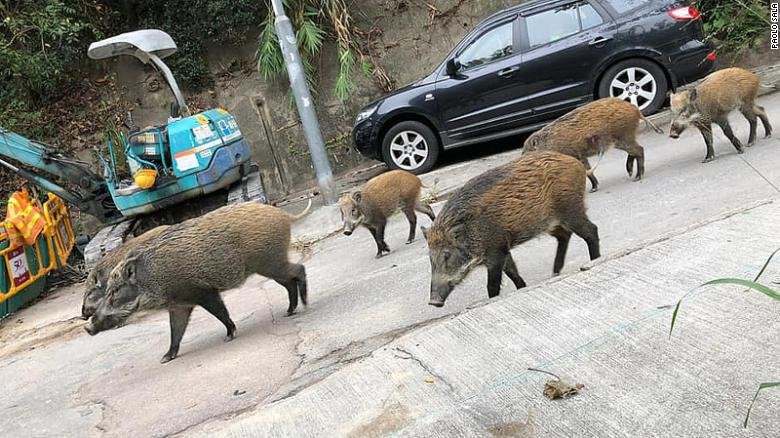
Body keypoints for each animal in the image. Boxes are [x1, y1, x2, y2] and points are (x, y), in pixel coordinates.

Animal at [85, 200, 311, 363]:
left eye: (115, 291)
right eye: (107, 291)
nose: (87, 326)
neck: (152, 280)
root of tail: (283, 214)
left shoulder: (202, 292)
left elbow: (220, 313)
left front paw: (228, 336)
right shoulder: (179, 305)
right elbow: (175, 331)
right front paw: (165, 358)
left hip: (269, 261)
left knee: (299, 270)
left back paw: (305, 304)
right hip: (269, 264)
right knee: (289, 281)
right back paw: (289, 311)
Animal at [423, 151, 600, 307]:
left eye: (447, 255)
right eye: (430, 258)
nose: (433, 302)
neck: (472, 231)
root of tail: (577, 164)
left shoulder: (495, 250)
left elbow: (493, 284)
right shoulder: (502, 247)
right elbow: (512, 272)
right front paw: (523, 287)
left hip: (571, 209)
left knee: (591, 231)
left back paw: (594, 259)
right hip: (553, 222)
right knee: (564, 236)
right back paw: (554, 272)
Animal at [523, 97, 663, 192]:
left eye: (528, 152)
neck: (548, 145)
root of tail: (636, 109)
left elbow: (585, 171)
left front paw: (592, 189)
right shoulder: (581, 156)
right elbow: (587, 170)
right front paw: (594, 188)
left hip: (623, 136)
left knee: (639, 150)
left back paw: (637, 177)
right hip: (622, 139)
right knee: (634, 151)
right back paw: (630, 173)